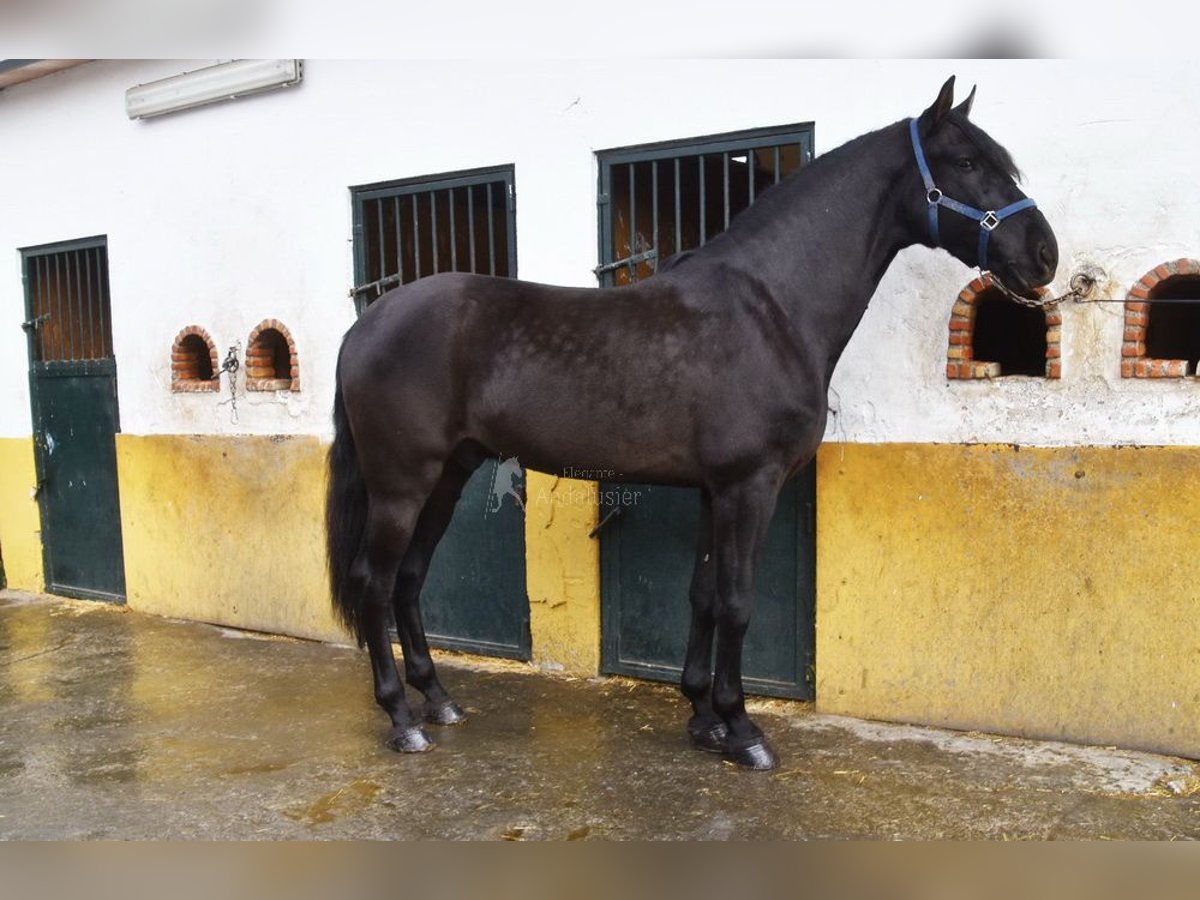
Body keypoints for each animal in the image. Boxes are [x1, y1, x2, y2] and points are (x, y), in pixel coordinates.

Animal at [326, 76, 1058, 770]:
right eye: (966, 161)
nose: (1044, 255)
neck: (771, 308)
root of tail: (366, 325)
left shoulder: (713, 491)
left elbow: (703, 596)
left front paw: (703, 719)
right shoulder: (748, 487)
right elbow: (736, 602)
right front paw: (743, 732)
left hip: (449, 476)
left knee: (410, 579)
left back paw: (439, 700)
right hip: (402, 485)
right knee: (375, 582)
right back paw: (402, 720)